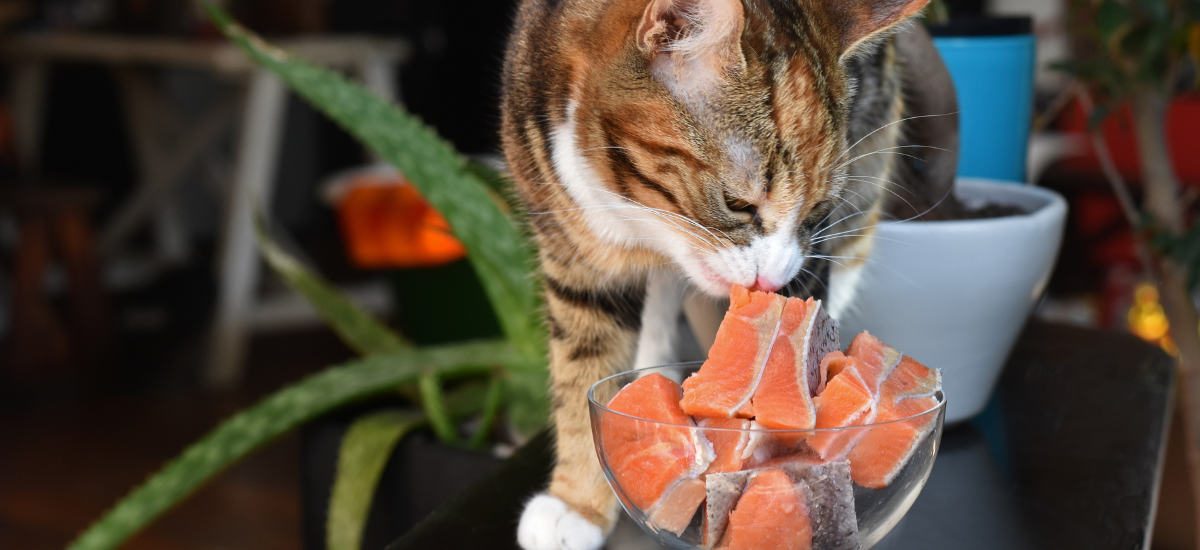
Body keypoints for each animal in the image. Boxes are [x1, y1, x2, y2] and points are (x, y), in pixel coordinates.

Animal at [496, 1, 955, 550]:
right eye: (739, 204)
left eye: (817, 210)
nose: (771, 282)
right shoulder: (572, 245)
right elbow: (580, 367)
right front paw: (577, 503)